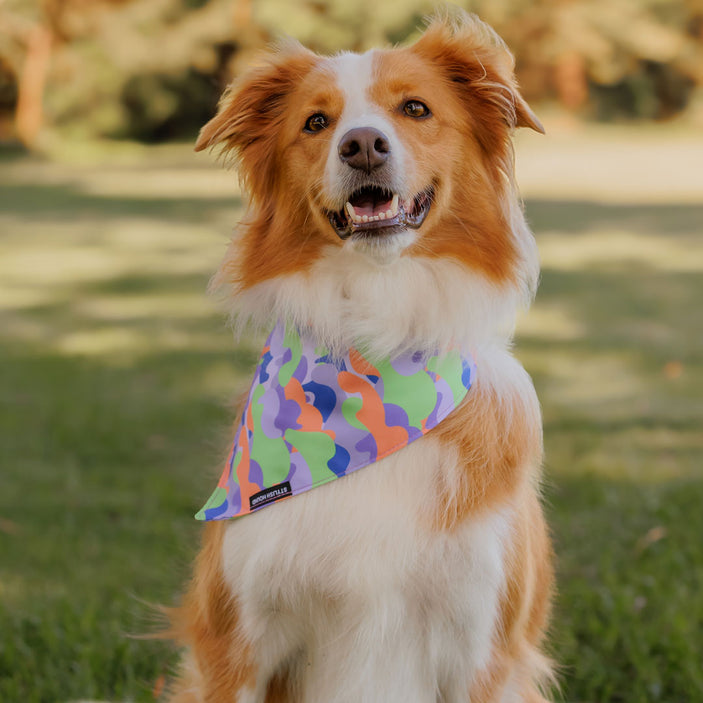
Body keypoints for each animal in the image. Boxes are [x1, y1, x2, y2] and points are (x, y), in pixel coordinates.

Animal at [169, 12, 556, 703]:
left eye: (415, 108)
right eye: (316, 122)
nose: (364, 145)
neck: (376, 343)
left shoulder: (484, 650)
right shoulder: (234, 645)